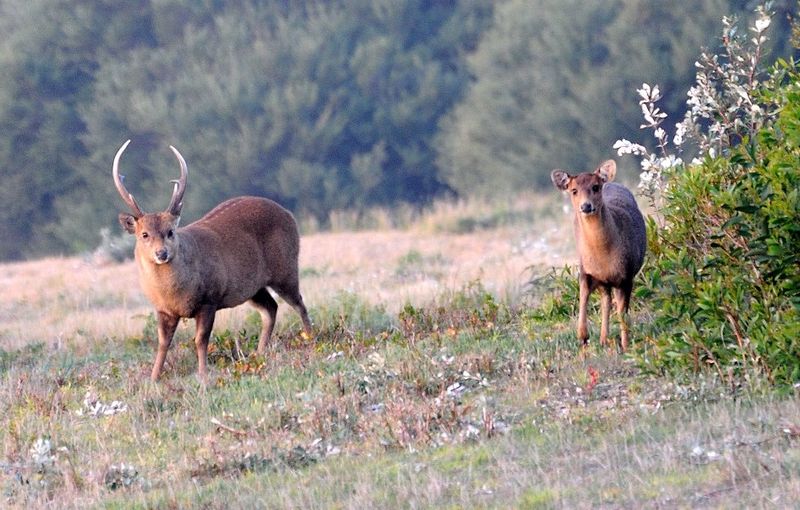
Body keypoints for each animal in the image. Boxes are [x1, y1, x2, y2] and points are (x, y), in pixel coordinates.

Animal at [113, 139, 313, 381]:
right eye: (144, 234)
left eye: (171, 231)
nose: (162, 254)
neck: (175, 295)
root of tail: (289, 214)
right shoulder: (162, 309)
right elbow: (162, 343)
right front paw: (153, 379)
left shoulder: (210, 299)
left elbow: (200, 340)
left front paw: (203, 375)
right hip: (253, 287)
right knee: (271, 308)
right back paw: (260, 353)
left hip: (285, 267)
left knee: (299, 303)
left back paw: (311, 340)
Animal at [551, 159, 646, 351]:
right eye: (573, 190)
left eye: (595, 187)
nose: (586, 206)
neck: (604, 257)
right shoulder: (585, 271)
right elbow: (583, 299)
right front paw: (583, 337)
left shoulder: (626, 276)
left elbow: (623, 313)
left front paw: (626, 346)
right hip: (603, 282)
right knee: (605, 301)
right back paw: (603, 339)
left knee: (609, 303)